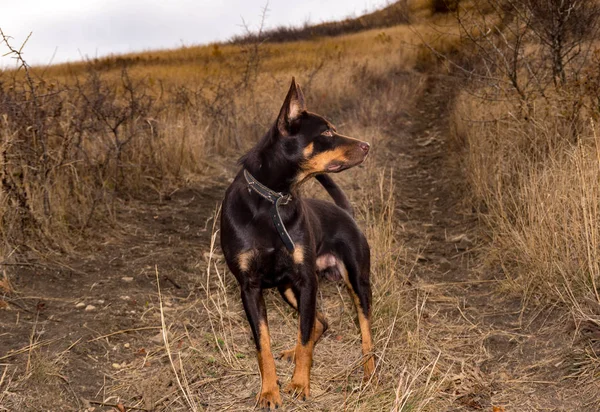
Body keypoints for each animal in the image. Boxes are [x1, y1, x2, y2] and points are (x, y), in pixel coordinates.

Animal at [218, 77, 372, 408]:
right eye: (326, 132)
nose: (367, 146)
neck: (272, 201)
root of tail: (345, 213)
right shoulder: (250, 287)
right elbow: (263, 345)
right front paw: (269, 390)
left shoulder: (306, 280)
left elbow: (304, 337)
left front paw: (300, 384)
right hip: (287, 288)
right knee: (321, 323)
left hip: (356, 281)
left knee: (364, 332)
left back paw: (370, 372)